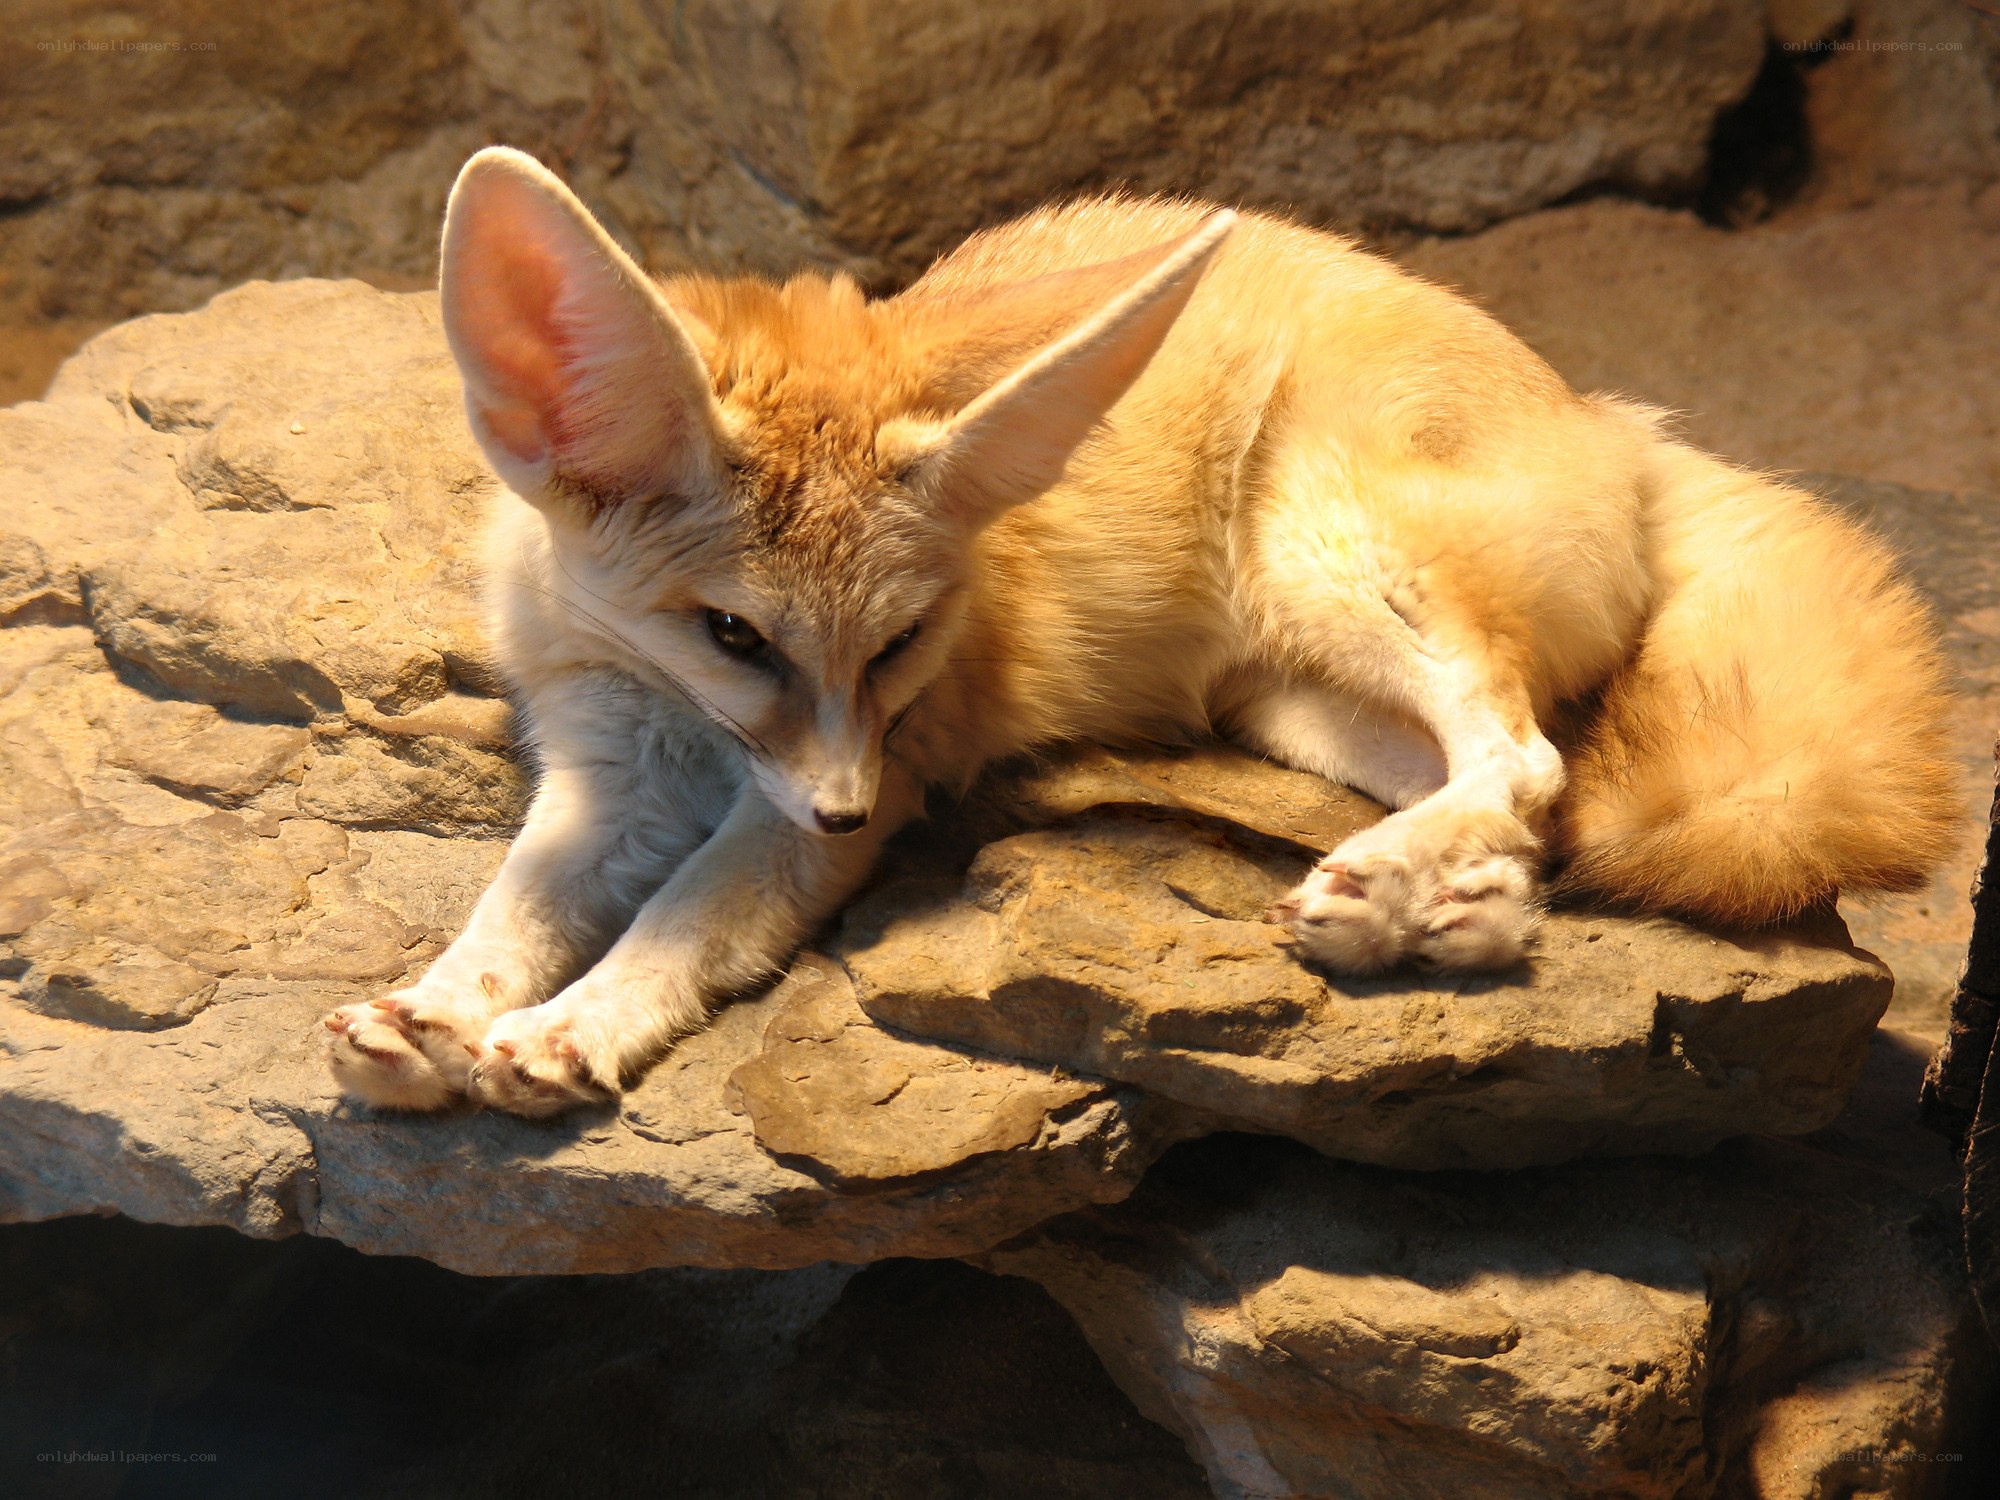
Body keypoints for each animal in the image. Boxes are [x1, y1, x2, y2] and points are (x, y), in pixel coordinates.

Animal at [325, 146, 1959, 1118]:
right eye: (732, 634)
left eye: (901, 645)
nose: (844, 805)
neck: (677, 724)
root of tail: (1615, 418)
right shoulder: (603, 776)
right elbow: (509, 909)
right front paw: (433, 1008)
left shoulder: (851, 789)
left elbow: (681, 916)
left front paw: (573, 1025)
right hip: (1287, 704)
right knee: (1534, 808)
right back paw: (1435, 912)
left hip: (1327, 564)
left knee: (1529, 764)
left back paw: (1394, 890)